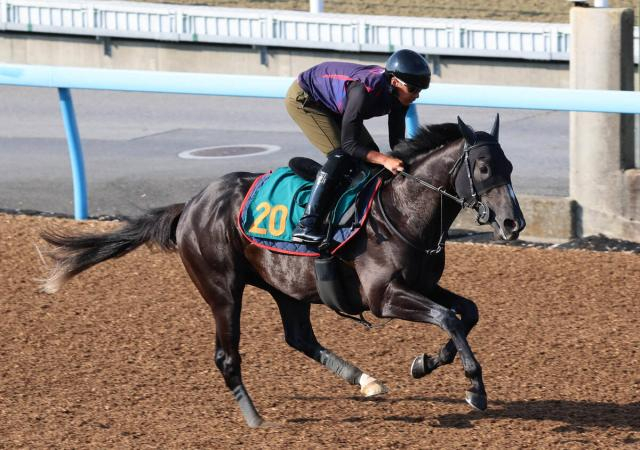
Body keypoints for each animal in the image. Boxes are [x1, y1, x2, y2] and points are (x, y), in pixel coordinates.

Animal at [40, 115, 525, 428]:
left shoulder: (424, 284)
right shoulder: (384, 297)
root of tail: (191, 205)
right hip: (222, 290)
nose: (512, 223)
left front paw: (427, 362)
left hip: (287, 288)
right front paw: (474, 387)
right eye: (484, 167)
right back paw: (256, 419)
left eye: (509, 166)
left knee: (299, 337)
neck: (401, 211)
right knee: (227, 355)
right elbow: (448, 318)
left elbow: (467, 313)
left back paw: (365, 381)